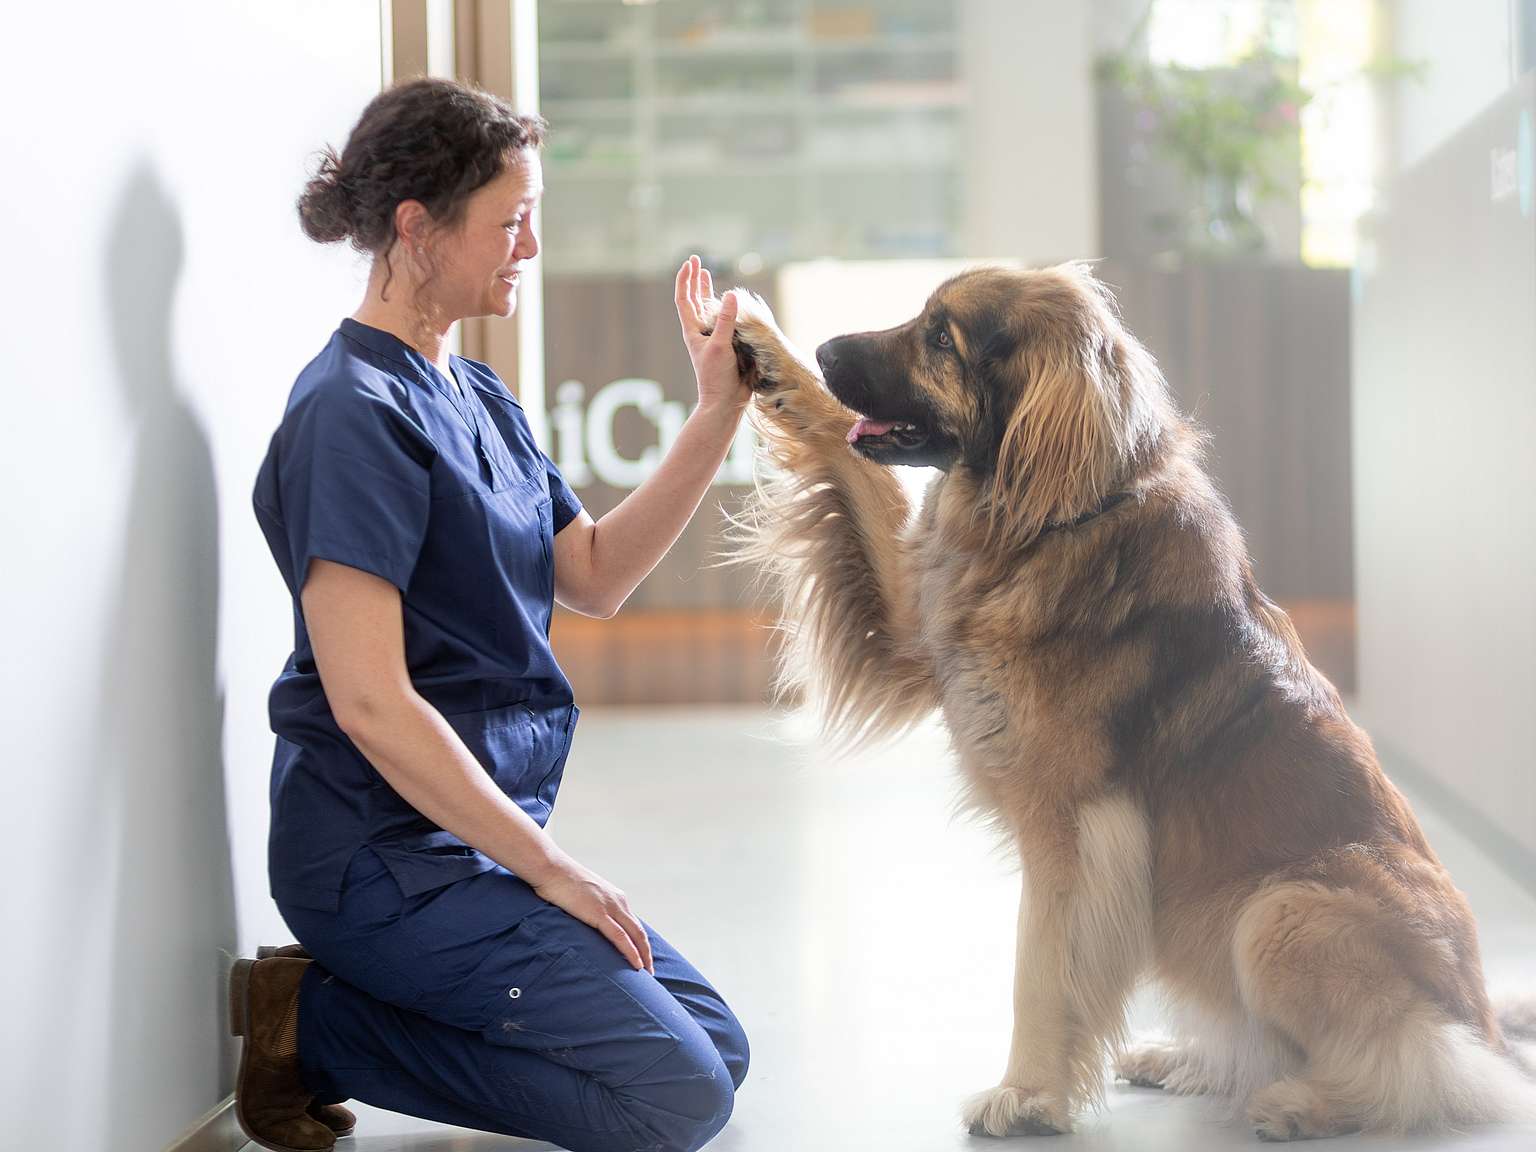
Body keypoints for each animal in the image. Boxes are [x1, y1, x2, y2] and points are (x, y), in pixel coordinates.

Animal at [715, 265, 1536, 1142]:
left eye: (942, 338)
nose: (828, 348)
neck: (1061, 519)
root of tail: (1487, 1019)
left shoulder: (1072, 828)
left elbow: (1041, 969)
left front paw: (1027, 1094)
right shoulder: (909, 618)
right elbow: (846, 450)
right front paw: (763, 345)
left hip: (1281, 913)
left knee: (1423, 1069)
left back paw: (1302, 1102)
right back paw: (1185, 1058)